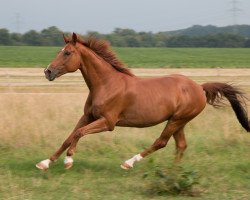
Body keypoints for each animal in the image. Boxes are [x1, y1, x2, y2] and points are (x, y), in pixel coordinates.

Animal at [36, 32, 249, 170]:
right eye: (60, 51)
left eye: (67, 53)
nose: (48, 71)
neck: (107, 84)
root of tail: (200, 87)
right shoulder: (88, 116)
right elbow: (70, 135)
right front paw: (45, 163)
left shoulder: (108, 122)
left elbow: (79, 133)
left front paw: (68, 161)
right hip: (179, 122)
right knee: (181, 145)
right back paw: (172, 173)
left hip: (177, 120)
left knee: (161, 142)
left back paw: (129, 163)